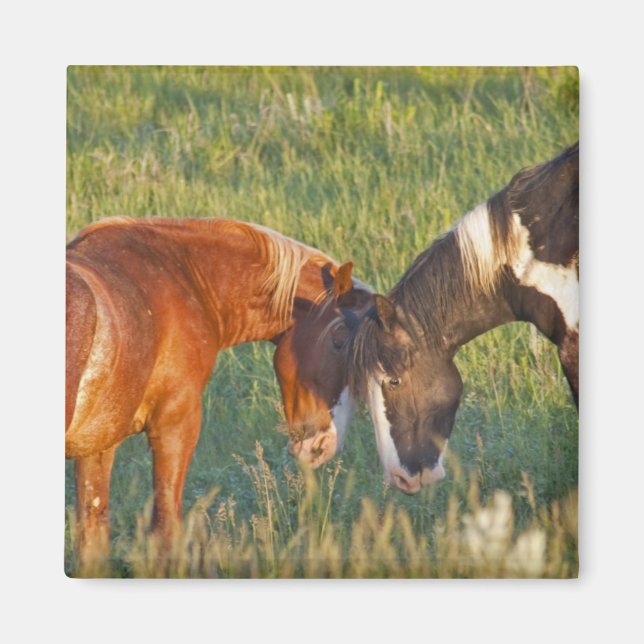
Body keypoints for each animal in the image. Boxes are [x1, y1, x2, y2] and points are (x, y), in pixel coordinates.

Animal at [66, 217, 373, 572]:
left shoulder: (97, 446)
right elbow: (165, 532)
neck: (182, 276)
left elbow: (92, 538)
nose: (323, 446)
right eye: (338, 341)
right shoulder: (175, 426)